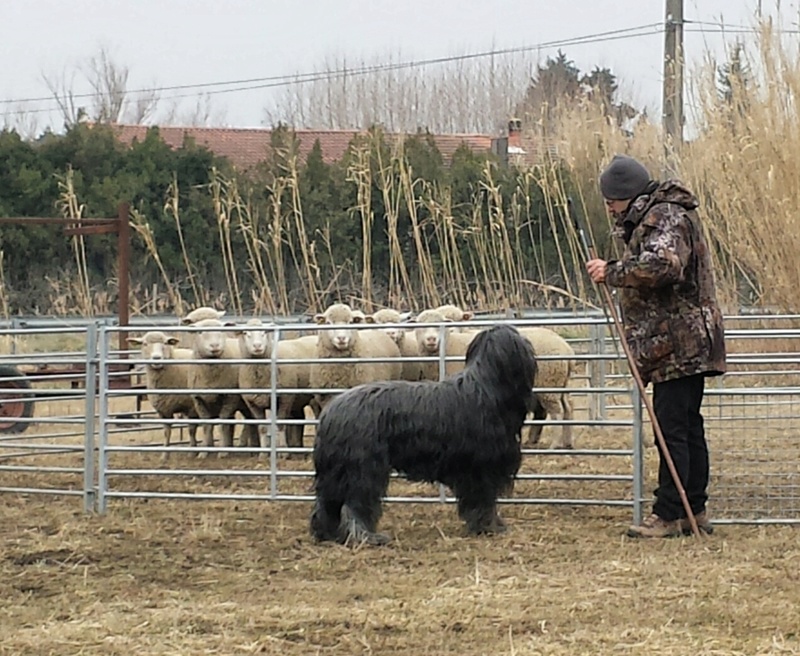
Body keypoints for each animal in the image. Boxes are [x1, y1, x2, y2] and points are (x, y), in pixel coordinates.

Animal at [128, 334, 198, 462]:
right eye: (145, 344)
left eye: (165, 343)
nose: (157, 358)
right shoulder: (163, 409)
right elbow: (166, 432)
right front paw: (165, 455)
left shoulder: (192, 407)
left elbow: (191, 430)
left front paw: (192, 452)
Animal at [310, 322, 536, 544]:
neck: (486, 388)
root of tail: (331, 412)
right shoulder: (481, 467)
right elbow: (483, 501)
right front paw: (488, 527)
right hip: (363, 468)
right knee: (355, 503)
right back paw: (366, 536)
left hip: (335, 472)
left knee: (327, 504)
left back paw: (327, 534)